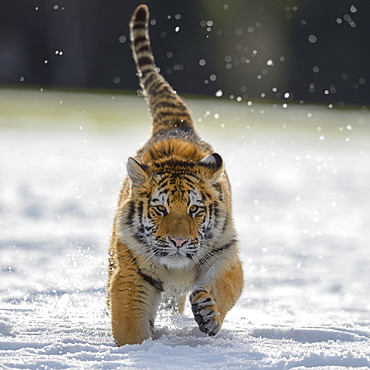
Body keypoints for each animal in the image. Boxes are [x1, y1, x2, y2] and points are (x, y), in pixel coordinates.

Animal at [108, 3, 244, 346]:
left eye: (195, 209)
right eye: (160, 209)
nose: (180, 242)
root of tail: (175, 125)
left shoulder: (224, 252)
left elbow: (225, 284)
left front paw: (209, 311)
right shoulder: (130, 271)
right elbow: (128, 321)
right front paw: (138, 348)